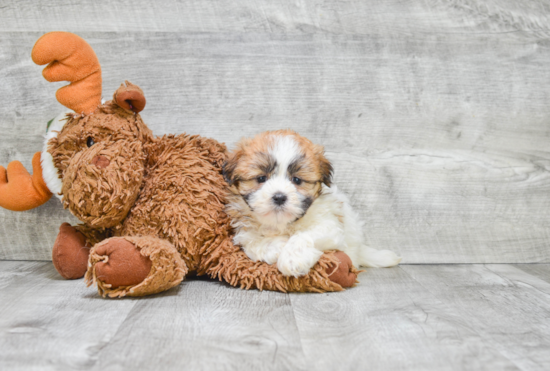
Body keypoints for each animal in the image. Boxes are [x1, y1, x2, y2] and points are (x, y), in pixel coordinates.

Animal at [224, 129, 402, 278]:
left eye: (297, 180)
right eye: (261, 178)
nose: (279, 197)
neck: (281, 224)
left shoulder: (330, 226)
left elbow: (304, 235)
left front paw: (292, 259)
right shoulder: (245, 230)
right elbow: (252, 243)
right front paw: (278, 245)